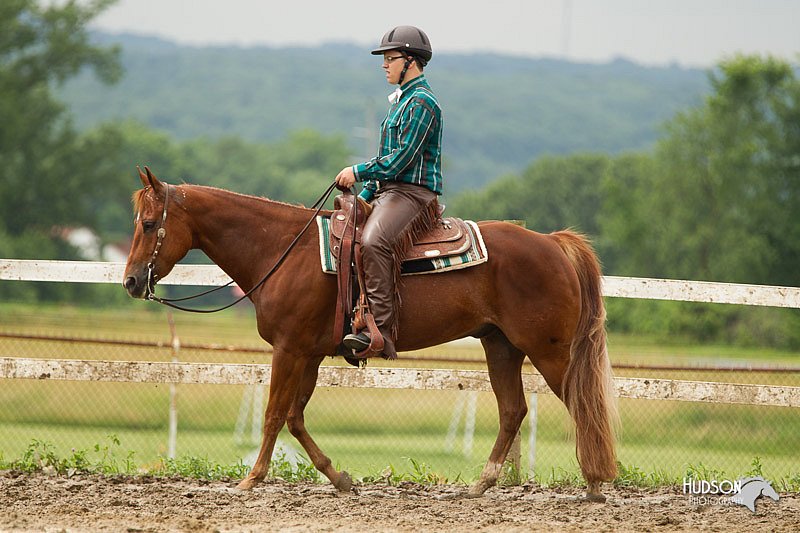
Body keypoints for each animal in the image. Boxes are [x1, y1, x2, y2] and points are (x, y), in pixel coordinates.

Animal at [122, 168, 620, 500]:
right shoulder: (309, 354)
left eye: (148, 224)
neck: (283, 250)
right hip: (501, 347)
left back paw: (595, 483)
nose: (129, 281)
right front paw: (339, 478)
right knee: (513, 410)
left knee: (580, 403)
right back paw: (481, 484)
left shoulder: (288, 349)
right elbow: (295, 417)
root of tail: (552, 242)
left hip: (549, 351)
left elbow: (273, 414)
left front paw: (251, 479)